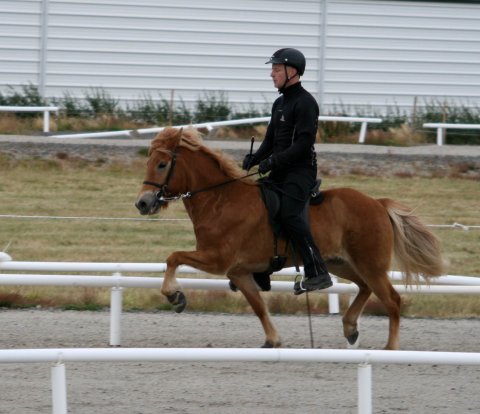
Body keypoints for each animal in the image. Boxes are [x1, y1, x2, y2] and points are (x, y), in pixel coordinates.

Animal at [134, 129, 442, 350]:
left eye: (162, 164)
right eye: (148, 162)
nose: (142, 203)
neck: (220, 199)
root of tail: (377, 203)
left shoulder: (218, 259)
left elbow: (173, 257)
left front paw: (175, 296)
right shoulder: (239, 271)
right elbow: (258, 306)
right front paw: (273, 340)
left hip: (371, 264)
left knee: (391, 299)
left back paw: (390, 348)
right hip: (340, 263)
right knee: (365, 287)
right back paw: (350, 327)